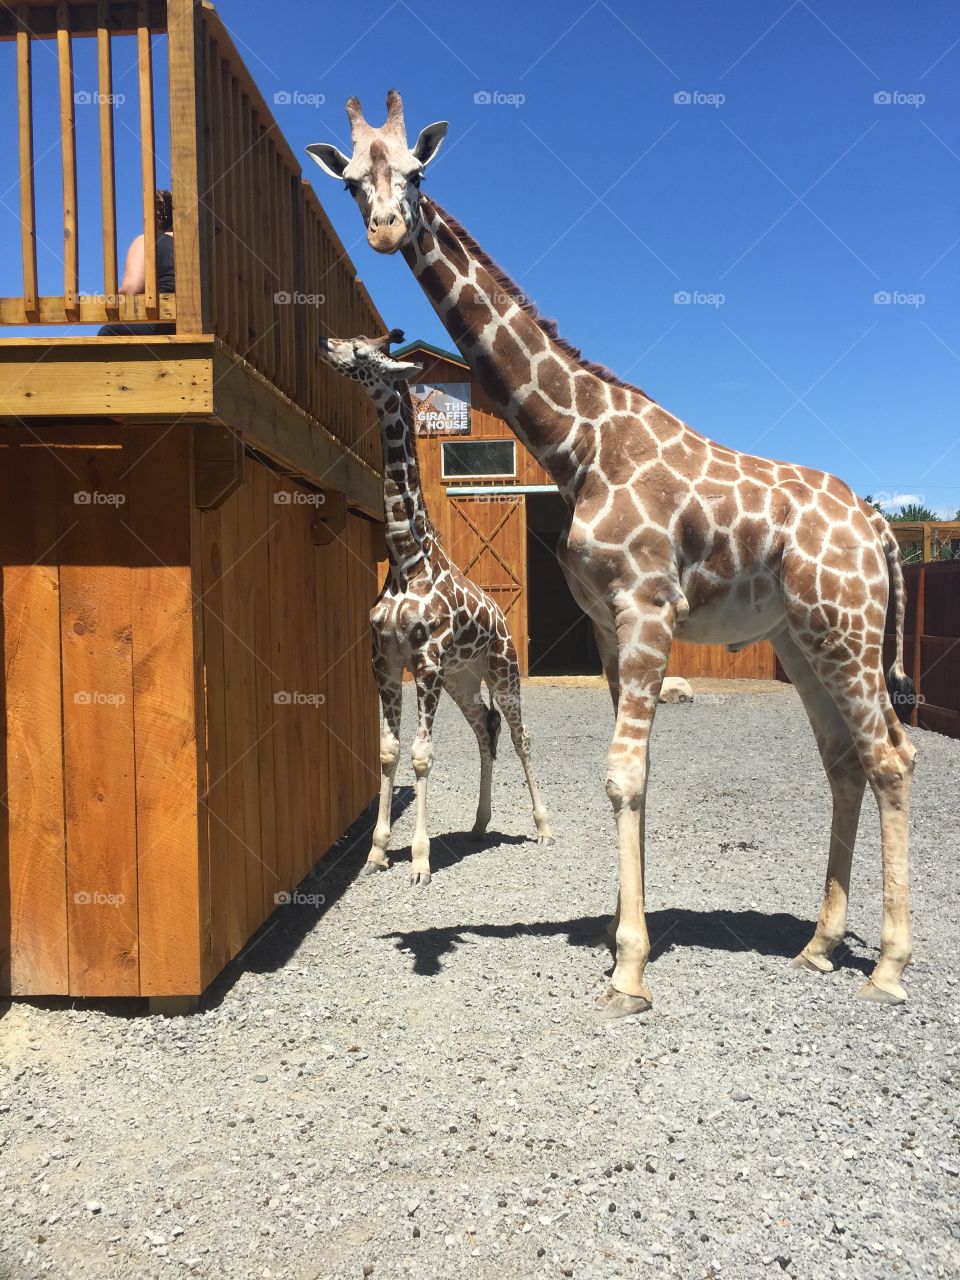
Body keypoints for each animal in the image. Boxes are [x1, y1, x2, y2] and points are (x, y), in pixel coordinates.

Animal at [318, 329, 553, 885]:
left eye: (363, 352)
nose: (325, 343)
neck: (407, 558)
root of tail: (504, 622)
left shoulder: (423, 663)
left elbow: (422, 755)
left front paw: (421, 861)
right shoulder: (384, 662)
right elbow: (387, 752)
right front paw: (377, 852)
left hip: (503, 671)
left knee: (520, 735)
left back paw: (543, 827)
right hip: (462, 680)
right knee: (486, 729)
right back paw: (480, 824)